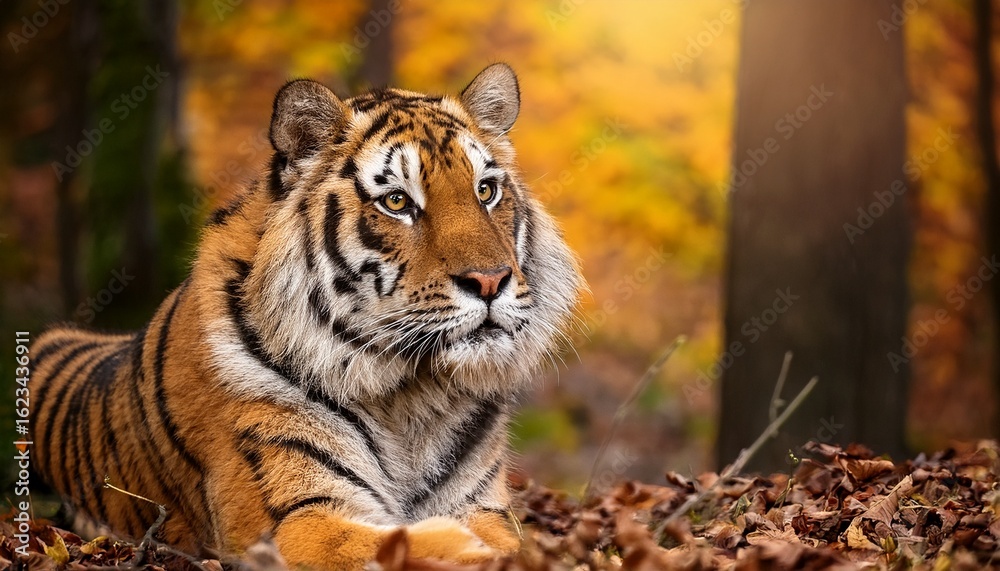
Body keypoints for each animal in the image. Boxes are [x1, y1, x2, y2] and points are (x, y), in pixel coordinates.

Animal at [27, 63, 582, 569]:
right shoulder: (297, 519)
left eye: (485, 191)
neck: (411, 396)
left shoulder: (482, 505)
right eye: (397, 201)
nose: (490, 281)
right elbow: (434, 546)